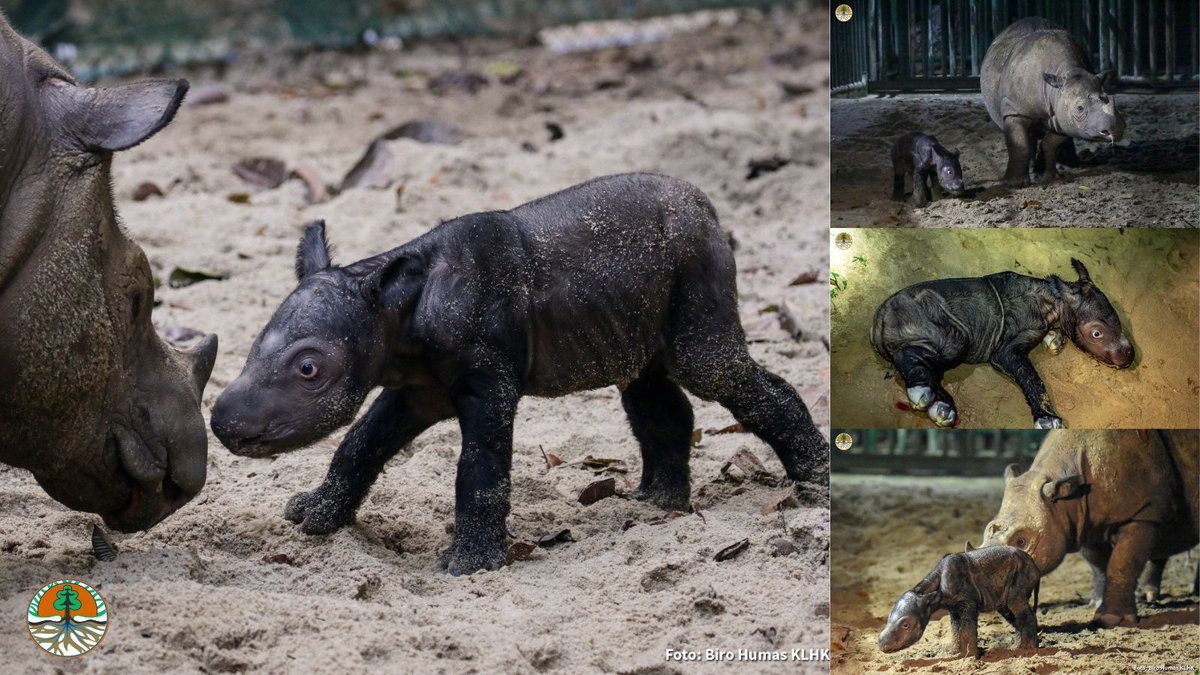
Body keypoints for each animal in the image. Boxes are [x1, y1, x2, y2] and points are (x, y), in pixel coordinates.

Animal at [976, 430, 1199, 628]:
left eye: (1021, 541)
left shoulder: (1142, 511)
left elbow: (1122, 562)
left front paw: (1110, 620)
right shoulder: (1082, 522)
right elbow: (1097, 563)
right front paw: (1096, 602)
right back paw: (1150, 596)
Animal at [981, 17, 1124, 186]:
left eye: (1106, 98)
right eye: (1079, 108)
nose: (1115, 130)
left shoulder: (1063, 117)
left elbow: (1050, 143)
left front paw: (1049, 177)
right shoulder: (1015, 110)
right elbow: (1020, 145)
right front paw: (1016, 183)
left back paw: (1068, 165)